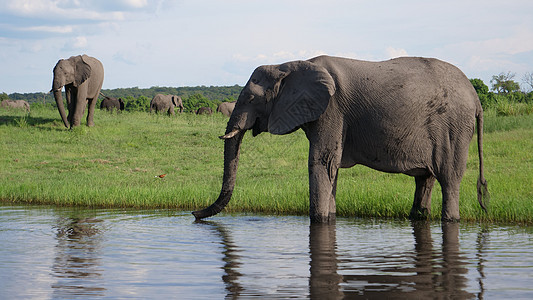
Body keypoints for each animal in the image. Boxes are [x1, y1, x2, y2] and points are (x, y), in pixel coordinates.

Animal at [193, 54, 488, 223]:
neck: (290, 64)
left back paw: (450, 219)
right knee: (425, 180)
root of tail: (476, 99)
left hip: (453, 128)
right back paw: (419, 217)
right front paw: (330, 217)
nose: (194, 215)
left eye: (252, 99)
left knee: (449, 179)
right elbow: (330, 167)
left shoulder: (332, 109)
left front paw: (320, 220)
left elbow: (320, 163)